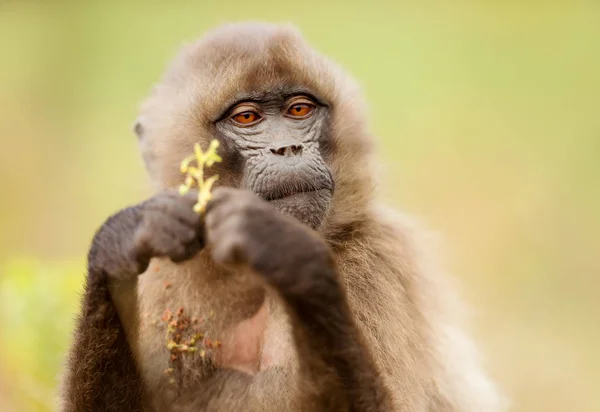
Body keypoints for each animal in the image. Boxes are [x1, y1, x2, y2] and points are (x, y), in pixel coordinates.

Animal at [61, 21, 504, 412]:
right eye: (246, 117)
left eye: (299, 110)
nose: (288, 148)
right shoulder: (167, 273)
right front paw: (118, 245)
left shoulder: (376, 262)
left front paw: (290, 255)